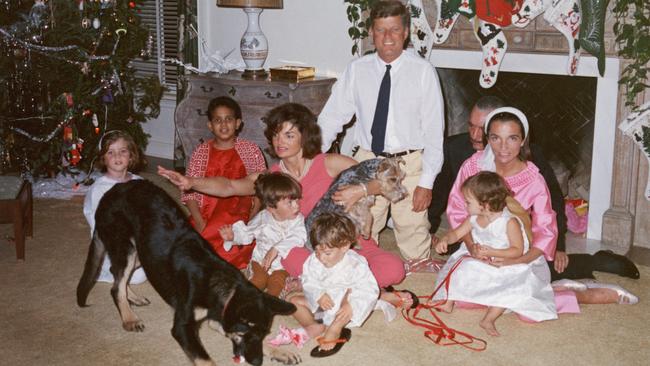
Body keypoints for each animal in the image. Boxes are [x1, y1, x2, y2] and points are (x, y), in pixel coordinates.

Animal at [76, 180, 298, 366]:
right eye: (247, 335)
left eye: (263, 334)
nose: (258, 362)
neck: (221, 283)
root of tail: (112, 190)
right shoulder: (183, 328)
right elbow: (206, 361)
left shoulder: (218, 318)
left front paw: (279, 352)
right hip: (126, 248)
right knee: (116, 286)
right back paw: (130, 318)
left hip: (143, 252)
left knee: (116, 274)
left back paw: (133, 298)